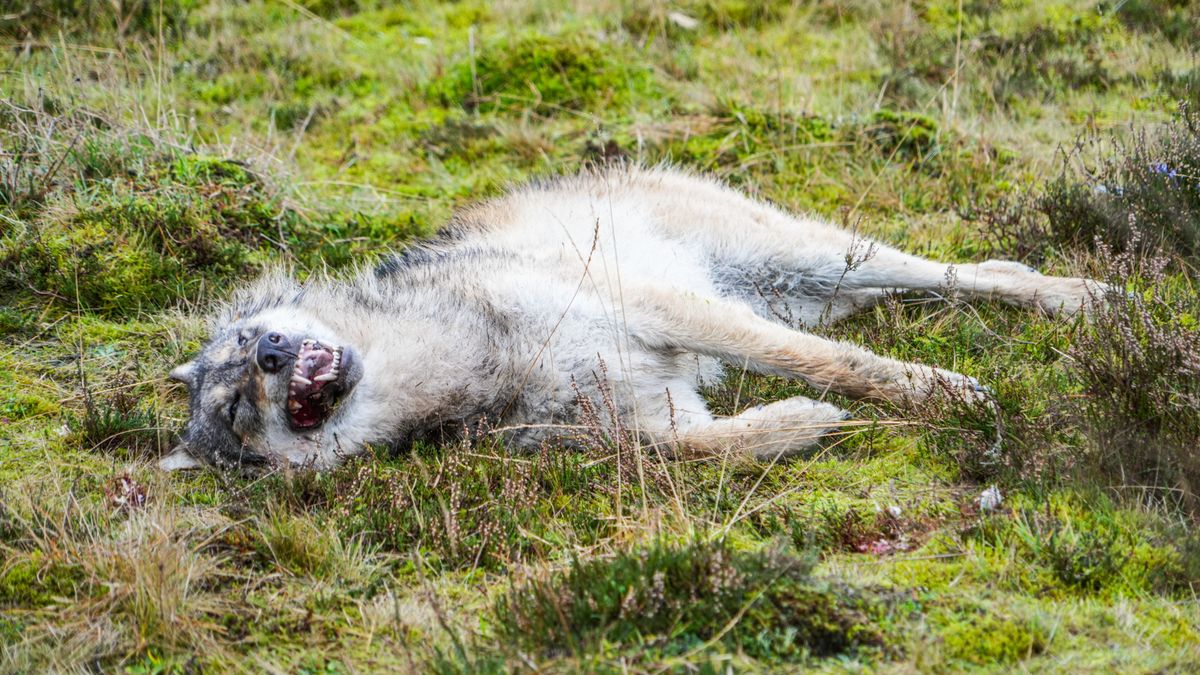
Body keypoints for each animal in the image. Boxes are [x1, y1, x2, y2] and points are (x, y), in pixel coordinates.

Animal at [163, 166, 1105, 471]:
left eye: (247, 342)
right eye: (236, 408)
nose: (275, 348)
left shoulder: (671, 311)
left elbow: (835, 363)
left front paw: (945, 397)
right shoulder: (651, 418)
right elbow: (713, 444)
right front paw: (805, 423)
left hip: (805, 260)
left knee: (967, 272)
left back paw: (1084, 299)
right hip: (821, 285)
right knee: (961, 279)